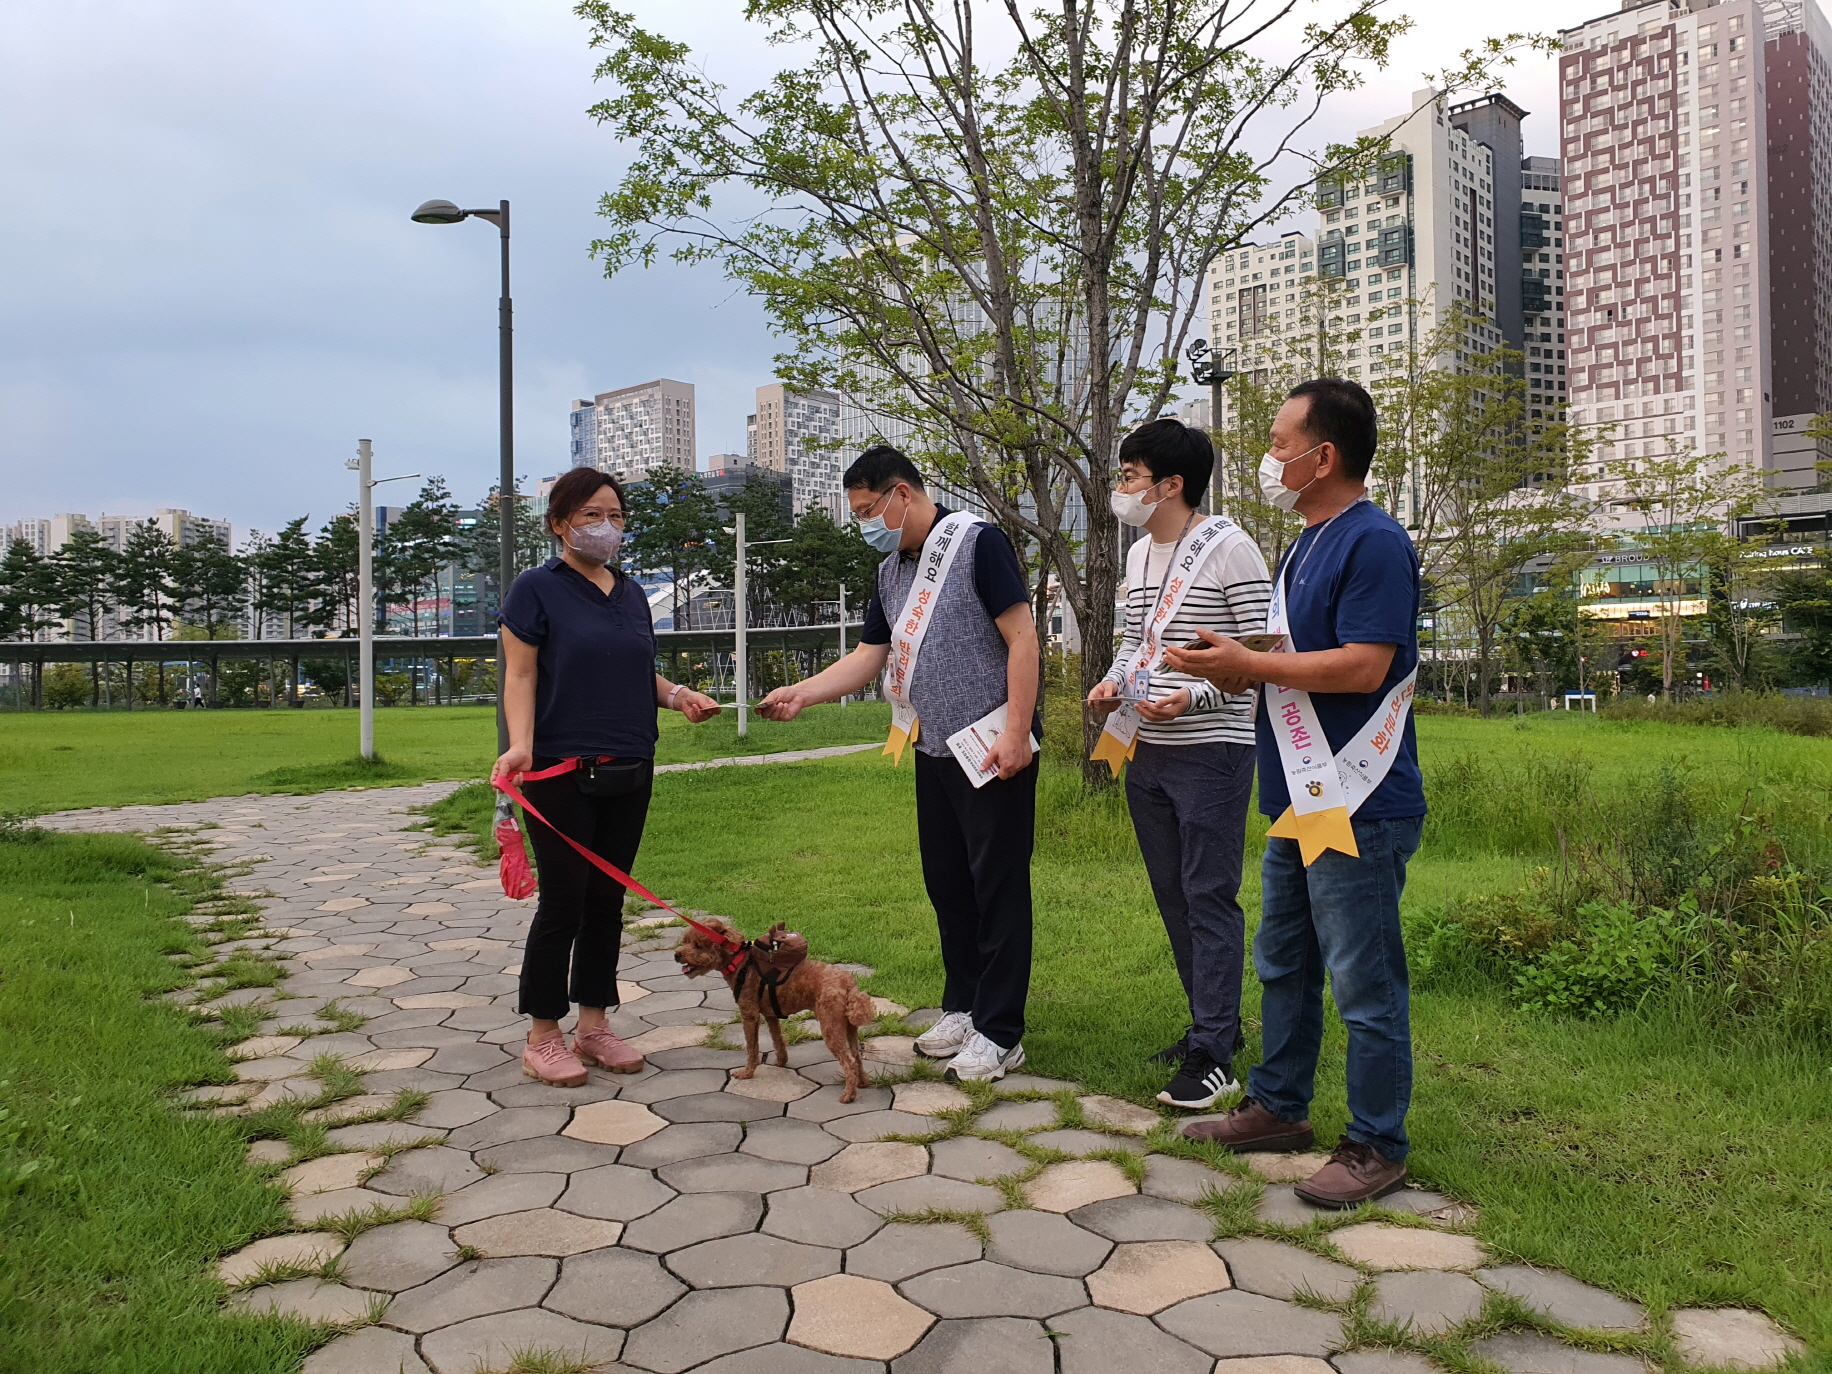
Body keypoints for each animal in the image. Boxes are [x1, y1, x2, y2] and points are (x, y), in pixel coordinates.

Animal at [677, 919, 875, 1106]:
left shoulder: (749, 1013)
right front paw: (781, 1062)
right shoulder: (770, 1014)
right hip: (848, 1025)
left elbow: (752, 1048)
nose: (676, 955)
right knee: (856, 1055)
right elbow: (777, 1038)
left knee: (849, 1061)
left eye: (698, 945)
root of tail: (850, 985)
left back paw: (848, 1095)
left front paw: (747, 1073)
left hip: (830, 1024)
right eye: (685, 941)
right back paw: (862, 1083)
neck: (739, 964)